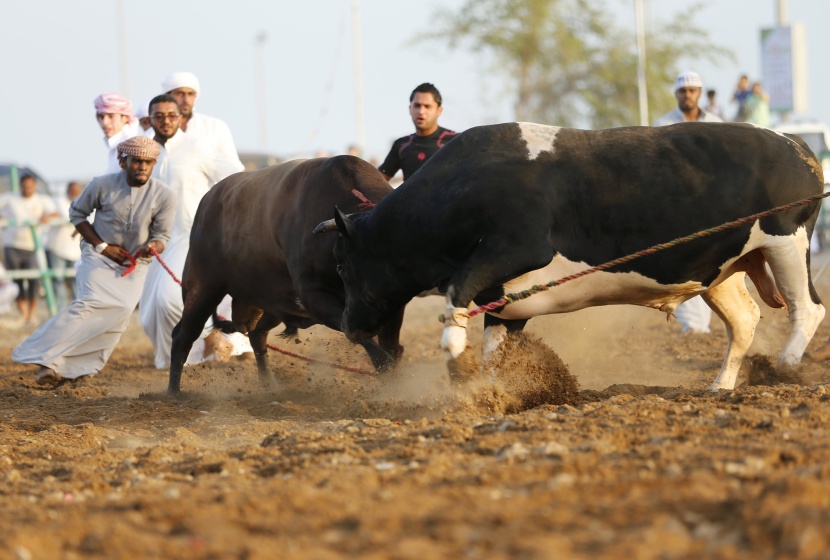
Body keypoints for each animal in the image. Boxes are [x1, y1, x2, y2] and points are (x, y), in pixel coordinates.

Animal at [167, 155, 404, 396]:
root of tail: (208, 199)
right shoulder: (313, 296)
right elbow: (367, 341)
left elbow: (390, 344)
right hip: (202, 287)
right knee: (182, 335)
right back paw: (174, 392)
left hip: (272, 303)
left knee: (257, 334)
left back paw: (268, 384)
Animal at [324, 123, 824, 392]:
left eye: (343, 265)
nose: (348, 325)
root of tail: (793, 142)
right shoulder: (505, 301)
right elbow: (495, 351)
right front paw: (492, 389)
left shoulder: (520, 247)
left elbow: (456, 290)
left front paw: (452, 345)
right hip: (726, 269)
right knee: (744, 320)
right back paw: (721, 385)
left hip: (786, 242)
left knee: (809, 308)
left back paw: (786, 362)